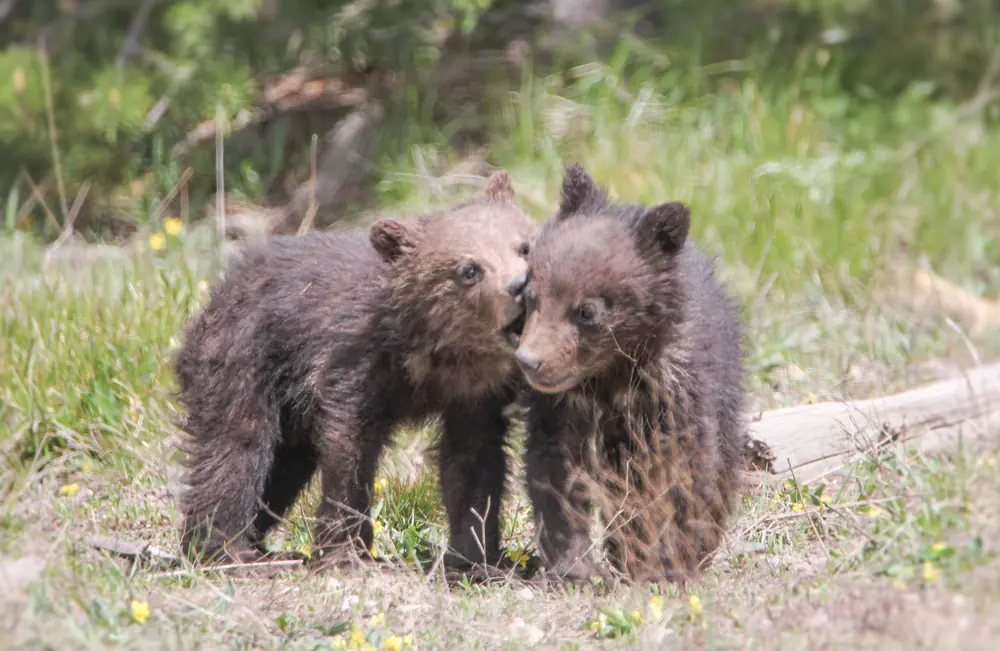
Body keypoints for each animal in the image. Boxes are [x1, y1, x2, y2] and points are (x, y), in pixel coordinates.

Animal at [174, 170, 536, 573]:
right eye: (469, 269)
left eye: (523, 246)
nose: (519, 286)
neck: (437, 349)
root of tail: (215, 295)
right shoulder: (355, 363)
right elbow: (350, 449)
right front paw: (345, 550)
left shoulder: (475, 393)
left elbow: (473, 459)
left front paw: (477, 556)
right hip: (242, 357)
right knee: (238, 445)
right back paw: (226, 550)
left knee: (283, 466)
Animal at [511, 164, 747, 585]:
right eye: (531, 293)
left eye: (587, 310)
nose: (530, 360)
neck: (611, 376)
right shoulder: (562, 409)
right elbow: (556, 475)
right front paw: (573, 566)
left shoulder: (673, 392)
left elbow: (679, 473)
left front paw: (668, 561)